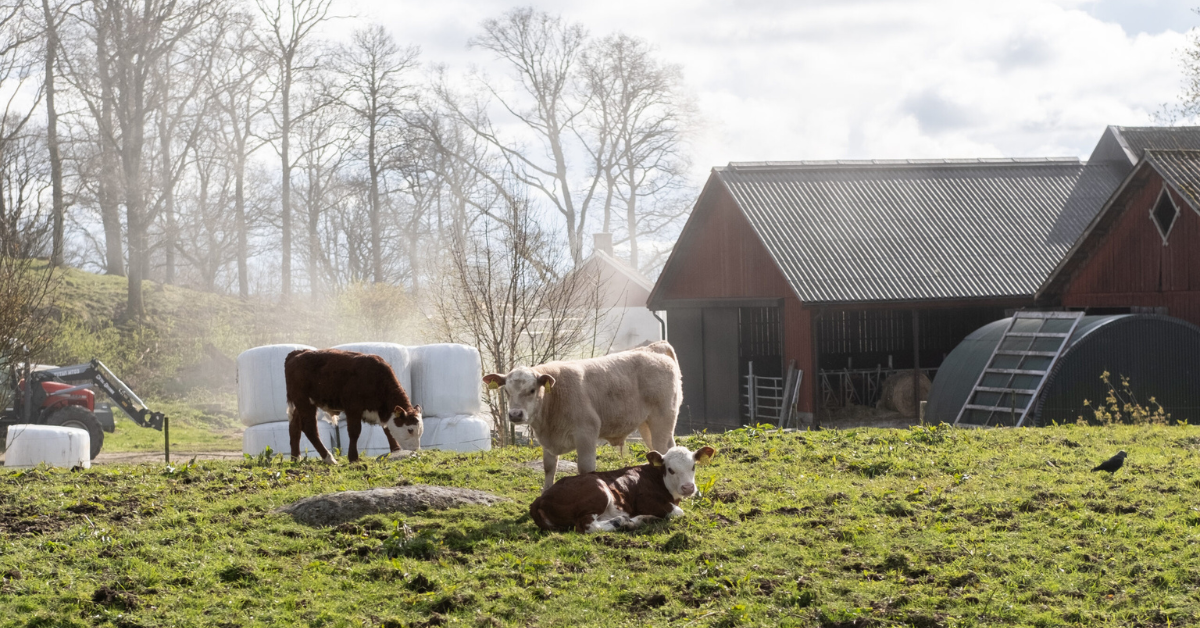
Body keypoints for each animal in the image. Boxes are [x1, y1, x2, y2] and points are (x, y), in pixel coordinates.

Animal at [283, 350, 424, 463]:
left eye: (420, 431)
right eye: (410, 429)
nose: (415, 451)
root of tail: (296, 353)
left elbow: (387, 430)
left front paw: (396, 450)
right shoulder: (353, 408)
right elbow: (354, 432)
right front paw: (353, 458)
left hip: (299, 405)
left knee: (294, 427)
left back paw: (295, 458)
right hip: (305, 402)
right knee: (310, 428)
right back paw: (329, 458)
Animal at [532, 444, 715, 533]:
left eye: (693, 467)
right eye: (670, 469)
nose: (688, 488)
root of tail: (540, 499)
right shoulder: (645, 500)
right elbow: (678, 512)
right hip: (599, 490)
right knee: (586, 526)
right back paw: (623, 521)